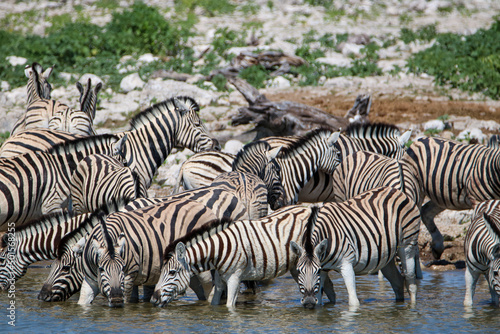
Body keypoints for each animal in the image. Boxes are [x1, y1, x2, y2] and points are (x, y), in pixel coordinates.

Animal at [150, 204, 312, 308]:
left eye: (172, 272)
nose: (153, 300)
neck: (218, 250)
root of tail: (305, 207)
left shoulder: (235, 278)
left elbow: (229, 307)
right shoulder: (219, 279)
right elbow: (214, 304)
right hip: (295, 266)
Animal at [290, 187, 422, 306]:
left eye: (316, 270)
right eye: (298, 271)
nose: (308, 301)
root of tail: (396, 191)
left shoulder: (346, 264)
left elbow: (354, 302)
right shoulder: (323, 271)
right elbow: (318, 303)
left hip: (407, 245)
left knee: (410, 282)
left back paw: (412, 308)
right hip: (385, 256)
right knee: (398, 281)